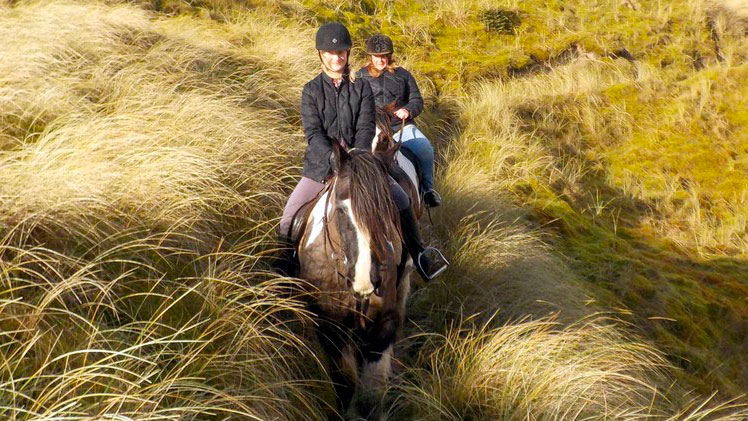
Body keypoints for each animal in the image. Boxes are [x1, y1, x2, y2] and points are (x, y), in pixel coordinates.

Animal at [296, 143, 412, 418]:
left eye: (388, 210)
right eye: (341, 210)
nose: (366, 281)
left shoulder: (383, 323)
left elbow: (373, 391)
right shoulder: (329, 327)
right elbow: (345, 382)